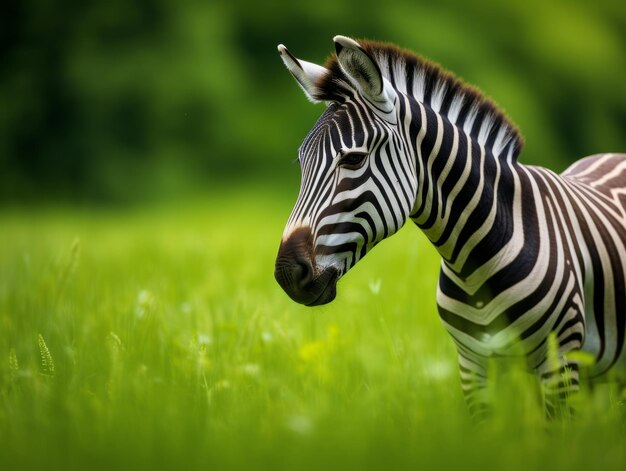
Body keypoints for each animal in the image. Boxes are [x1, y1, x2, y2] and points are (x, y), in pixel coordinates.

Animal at [274, 35, 624, 418]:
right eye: (301, 163)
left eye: (353, 159)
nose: (288, 273)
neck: (477, 262)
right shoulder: (473, 365)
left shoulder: (558, 362)